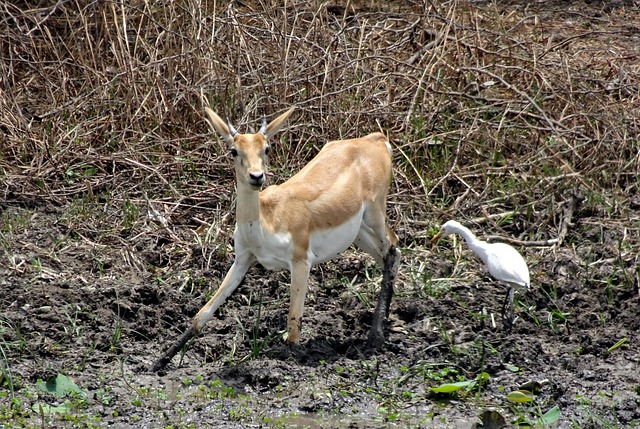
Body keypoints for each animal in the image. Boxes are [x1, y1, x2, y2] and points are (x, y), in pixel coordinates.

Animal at [150, 105, 400, 370]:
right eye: (233, 150)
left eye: (266, 148)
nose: (256, 176)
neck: (267, 221)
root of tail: (375, 139)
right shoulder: (243, 259)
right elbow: (203, 313)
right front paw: (159, 362)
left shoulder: (301, 262)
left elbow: (293, 323)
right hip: (358, 233)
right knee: (386, 256)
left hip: (375, 214)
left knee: (393, 249)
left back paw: (376, 338)